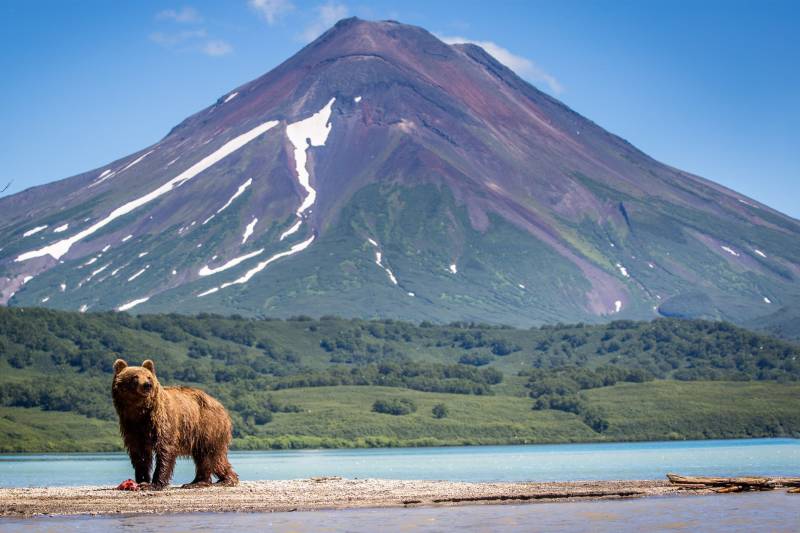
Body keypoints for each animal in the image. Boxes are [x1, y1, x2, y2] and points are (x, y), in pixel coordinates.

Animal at [111, 358, 239, 490]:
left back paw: (203, 482)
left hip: (207, 425)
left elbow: (165, 449)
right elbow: (139, 453)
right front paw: (142, 479)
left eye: (149, 377)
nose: (147, 385)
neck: (140, 411)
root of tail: (221, 406)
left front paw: (154, 484)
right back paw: (222, 479)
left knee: (206, 455)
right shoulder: (131, 425)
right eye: (135, 377)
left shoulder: (162, 421)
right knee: (216, 458)